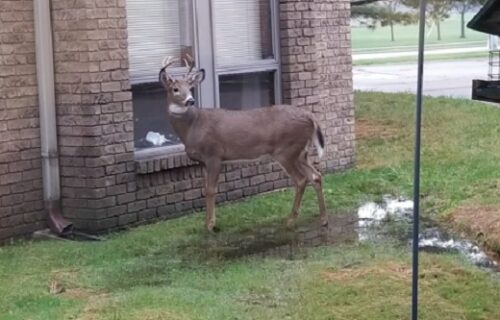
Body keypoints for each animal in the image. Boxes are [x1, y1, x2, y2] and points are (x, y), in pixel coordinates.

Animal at [159, 55, 328, 232]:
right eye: (175, 89)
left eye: (190, 88)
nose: (190, 100)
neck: (193, 125)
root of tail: (311, 117)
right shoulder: (203, 162)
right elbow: (205, 189)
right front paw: (207, 223)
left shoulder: (214, 154)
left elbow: (211, 189)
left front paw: (210, 225)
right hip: (301, 152)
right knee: (315, 176)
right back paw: (323, 219)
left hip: (286, 151)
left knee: (301, 180)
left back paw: (290, 220)